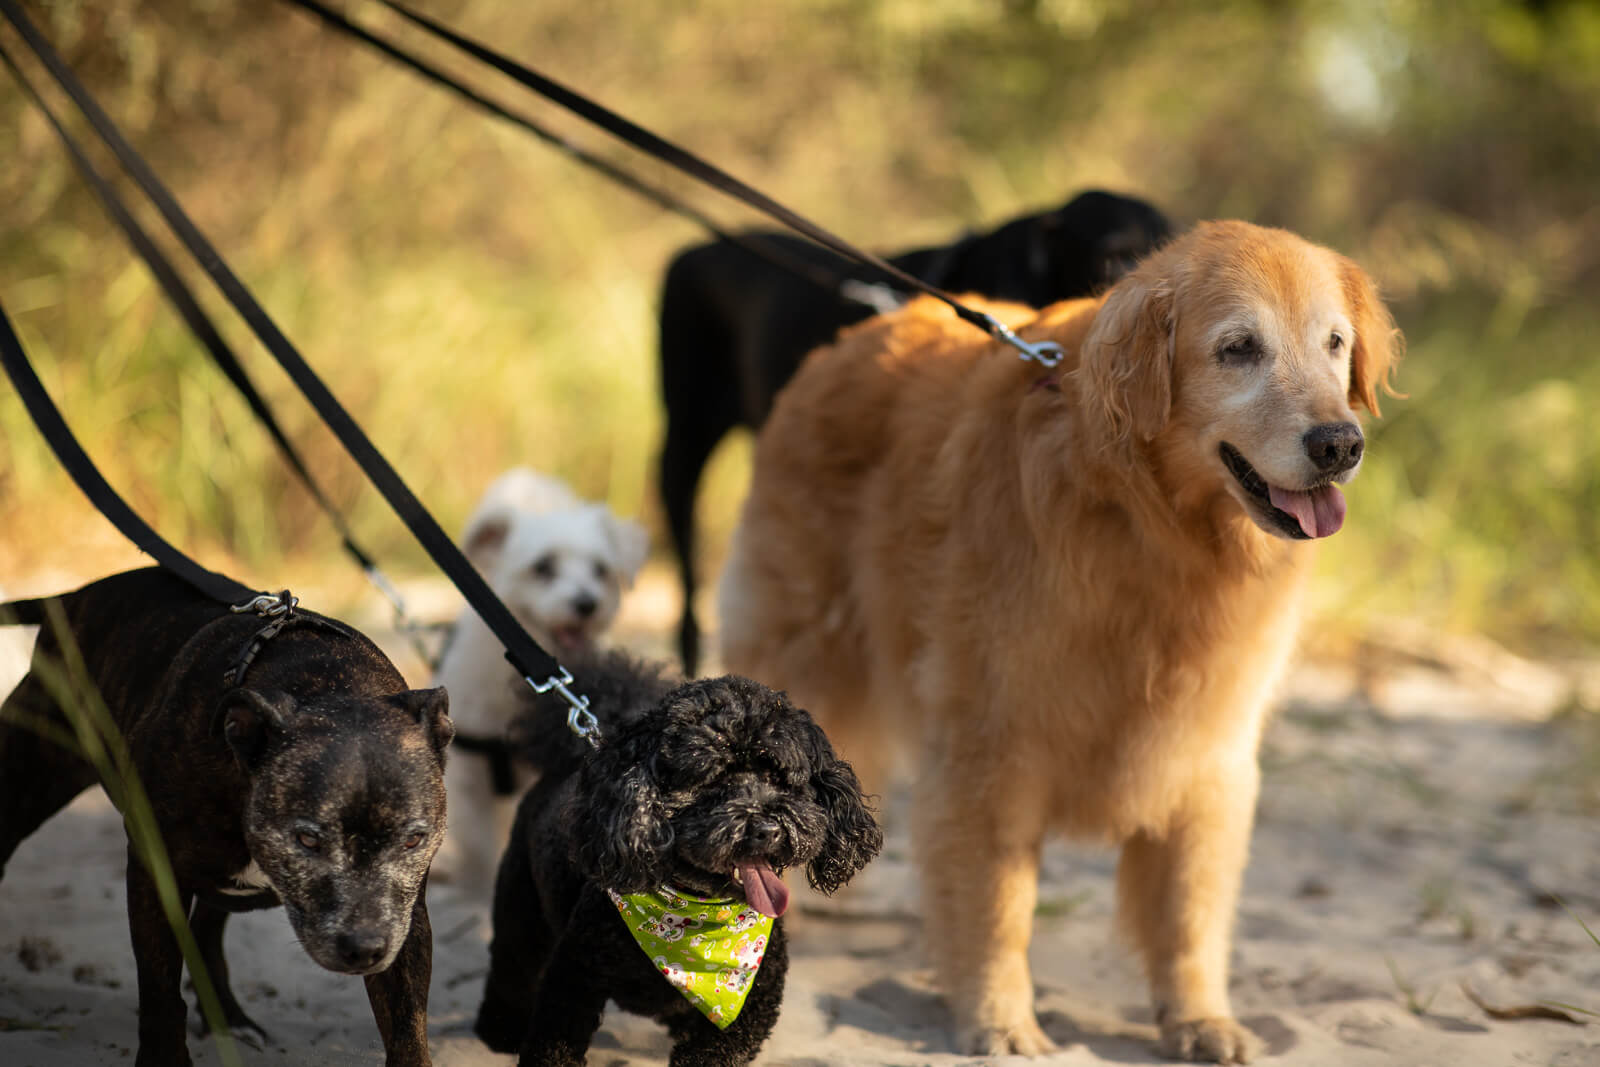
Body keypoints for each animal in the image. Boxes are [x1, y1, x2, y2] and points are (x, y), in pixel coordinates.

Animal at [473, 652, 883, 1067]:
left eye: (778, 776)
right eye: (713, 779)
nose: (768, 829)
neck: (692, 919)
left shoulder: (747, 1008)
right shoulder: (574, 977)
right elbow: (553, 1044)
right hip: (522, 907)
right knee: (512, 967)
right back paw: (499, 1031)